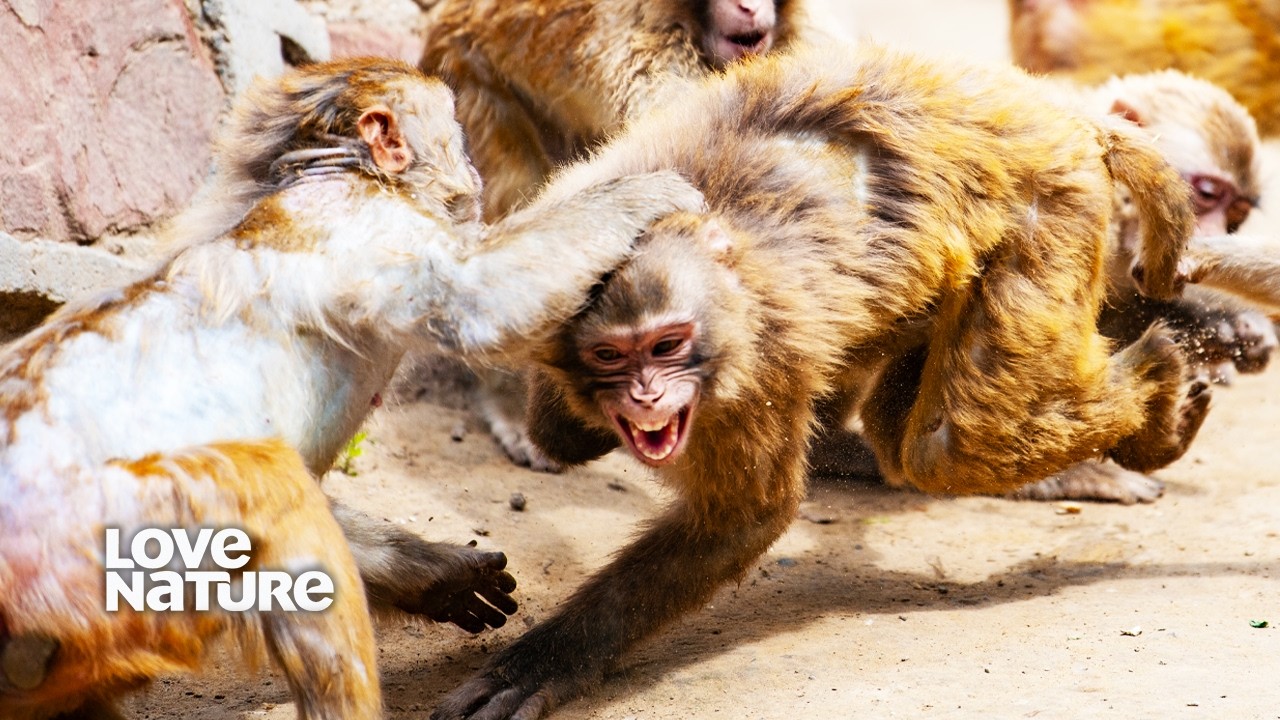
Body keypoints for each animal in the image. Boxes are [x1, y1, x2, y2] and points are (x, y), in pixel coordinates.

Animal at [0, 57, 702, 719]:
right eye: (456, 132)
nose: (473, 170)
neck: (330, 173)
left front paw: (431, 575)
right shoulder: (366, 220)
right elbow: (480, 299)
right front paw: (645, 191)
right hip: (103, 549)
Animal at [431, 43, 1209, 720]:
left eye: (667, 345)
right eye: (609, 358)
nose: (646, 396)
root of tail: (1058, 115)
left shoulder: (764, 356)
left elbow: (742, 520)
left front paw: (547, 663)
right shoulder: (523, 276)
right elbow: (556, 432)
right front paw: (566, 423)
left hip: (1056, 204)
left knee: (949, 449)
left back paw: (1158, 385)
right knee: (911, 433)